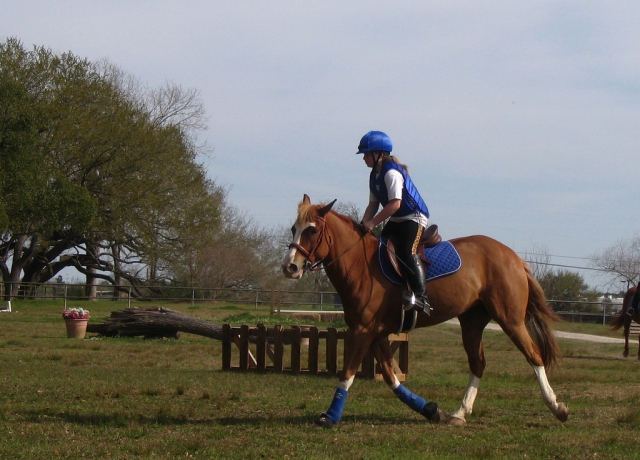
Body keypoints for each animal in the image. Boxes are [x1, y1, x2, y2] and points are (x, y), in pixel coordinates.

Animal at [281, 195, 568, 427]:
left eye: (312, 230)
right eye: (294, 229)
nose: (289, 267)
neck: (360, 263)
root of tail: (513, 256)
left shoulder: (362, 332)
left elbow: (347, 374)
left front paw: (330, 417)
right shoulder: (376, 334)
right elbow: (392, 380)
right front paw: (430, 410)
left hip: (510, 319)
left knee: (534, 355)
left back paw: (557, 408)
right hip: (472, 322)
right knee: (478, 362)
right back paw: (460, 413)